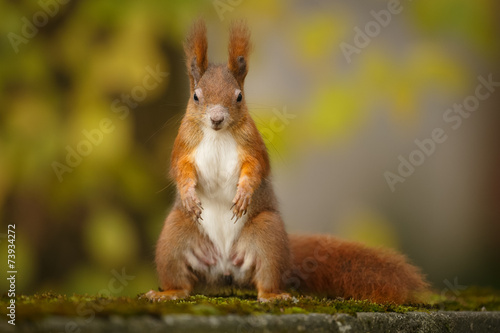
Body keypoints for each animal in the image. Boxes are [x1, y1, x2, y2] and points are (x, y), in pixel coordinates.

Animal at [146, 20, 430, 304]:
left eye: (239, 97)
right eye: (196, 96)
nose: (216, 118)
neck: (217, 134)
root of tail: (225, 265)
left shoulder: (252, 147)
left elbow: (256, 169)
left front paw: (244, 194)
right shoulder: (184, 147)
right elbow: (181, 171)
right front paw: (189, 196)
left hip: (267, 234)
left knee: (266, 277)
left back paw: (273, 295)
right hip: (174, 236)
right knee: (180, 278)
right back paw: (168, 292)